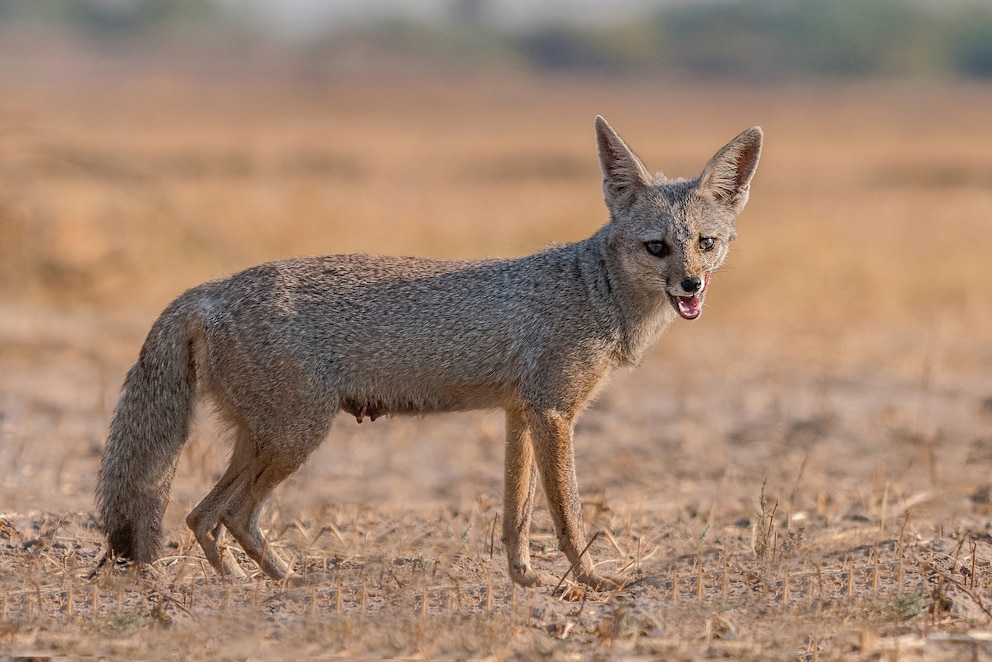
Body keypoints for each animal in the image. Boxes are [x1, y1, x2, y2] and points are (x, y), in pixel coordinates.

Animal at [95, 118, 760, 592]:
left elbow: (516, 517)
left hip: (269, 440)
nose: (691, 286)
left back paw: (261, 579)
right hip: (293, 437)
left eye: (706, 244)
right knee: (219, 514)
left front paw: (527, 579)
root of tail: (210, 289)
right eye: (656, 247)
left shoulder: (520, 415)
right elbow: (568, 515)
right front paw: (592, 580)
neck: (592, 289)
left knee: (205, 516)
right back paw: (267, 583)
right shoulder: (554, 415)